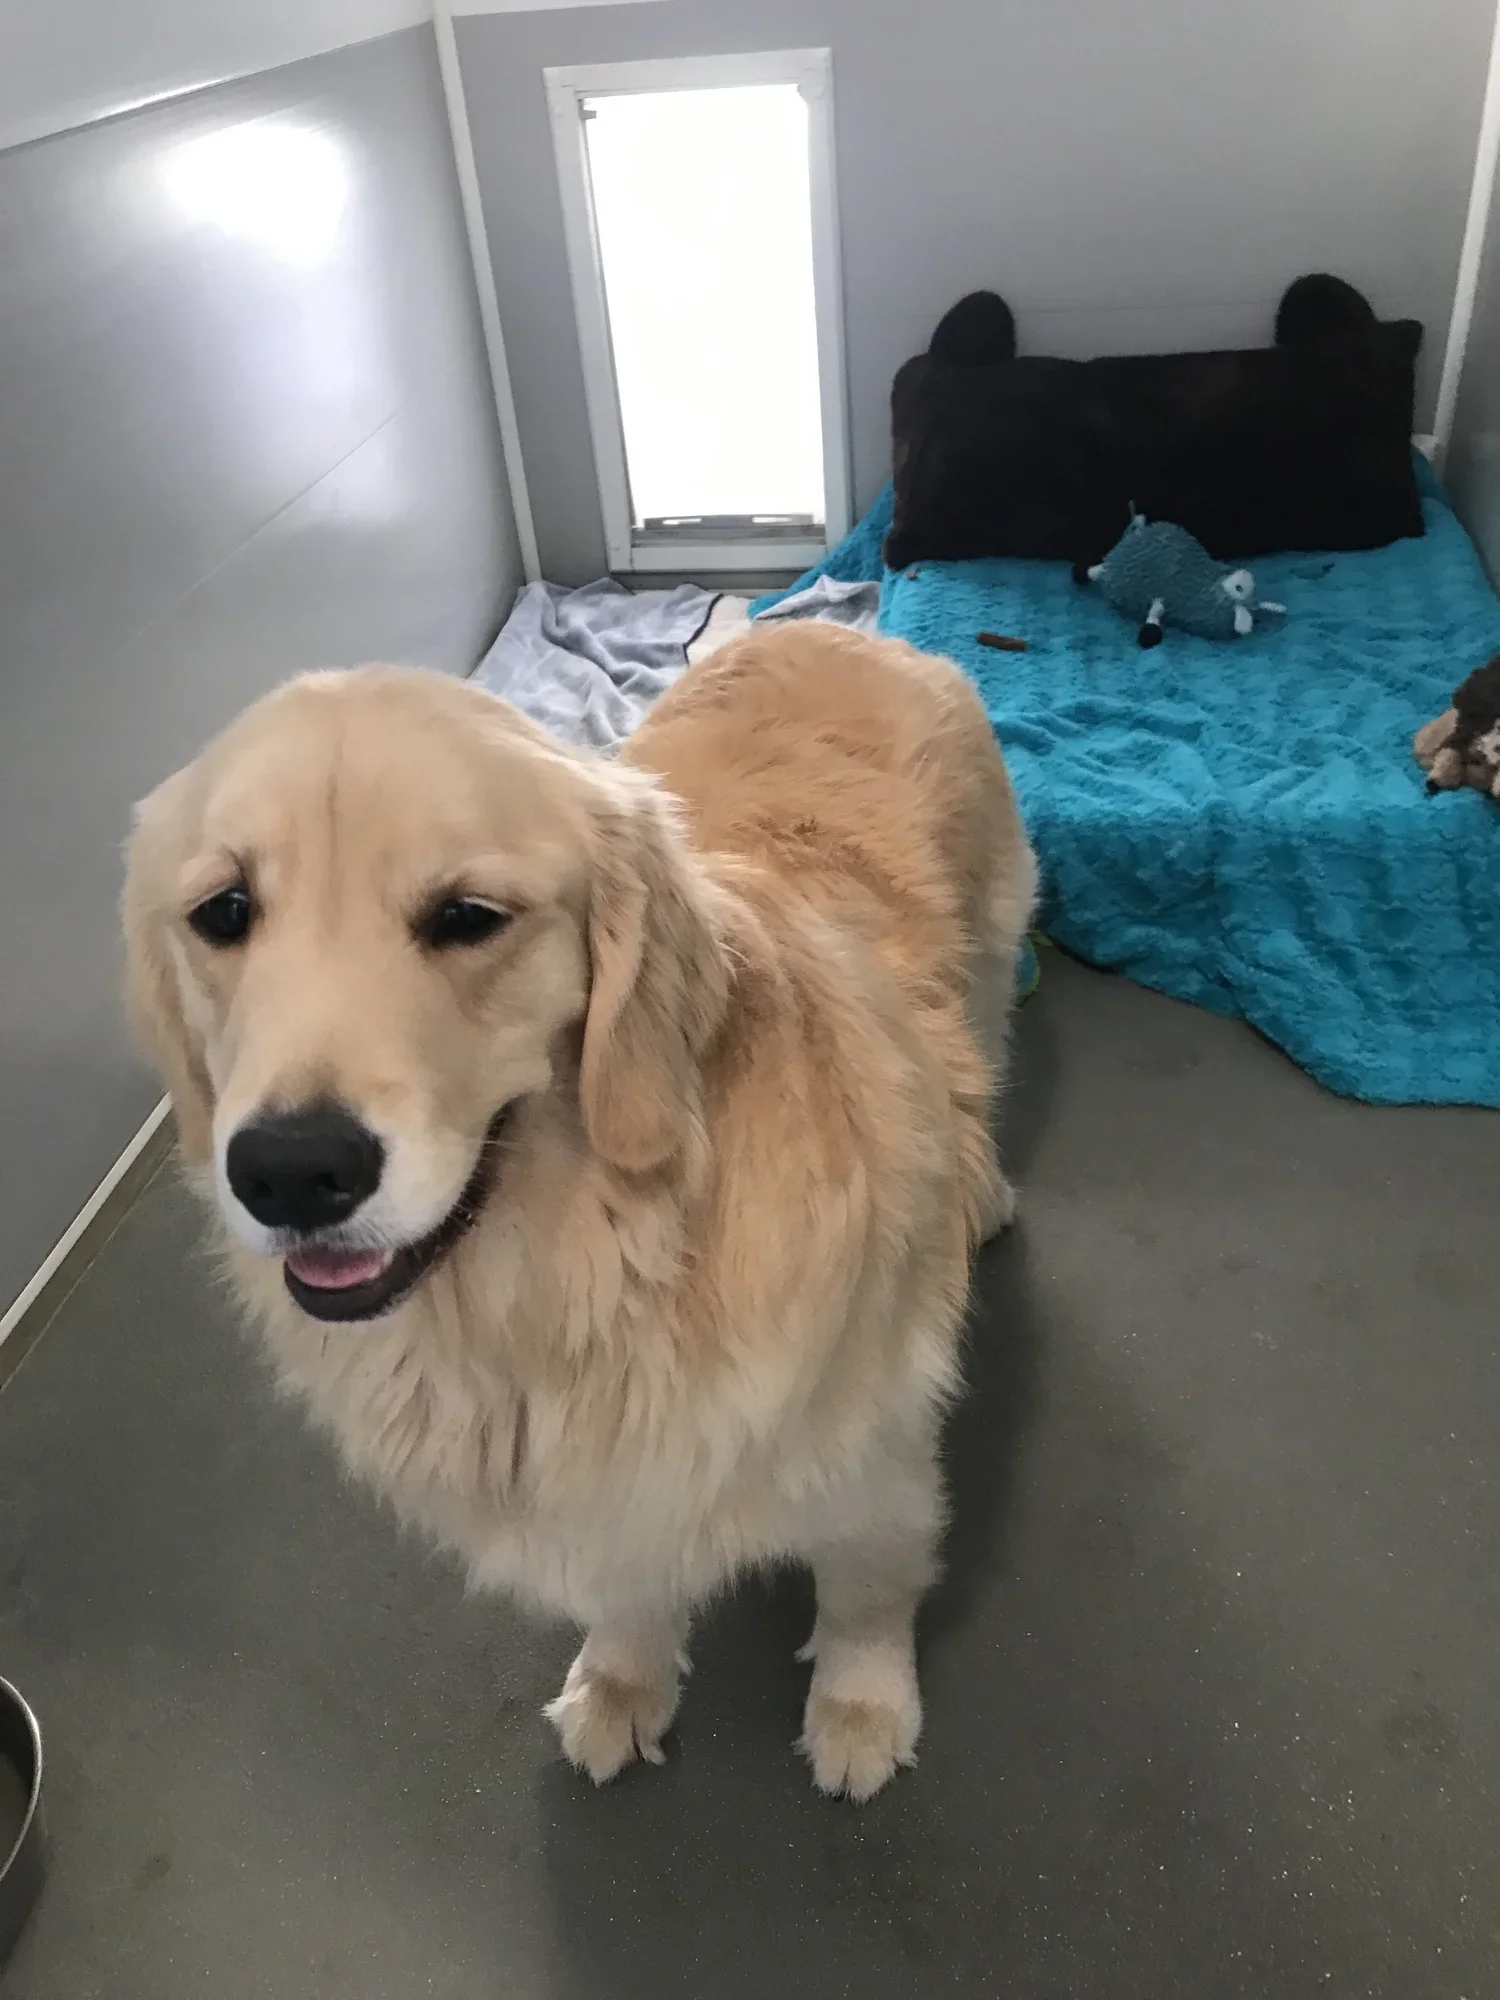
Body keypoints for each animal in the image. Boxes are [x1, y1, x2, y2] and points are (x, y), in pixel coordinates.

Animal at [123, 624, 1037, 1800]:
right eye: (223, 912)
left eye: (469, 918)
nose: (289, 1170)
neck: (575, 1282)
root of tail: (838, 620)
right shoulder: (596, 1495)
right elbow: (624, 1595)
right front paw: (620, 1682)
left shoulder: (874, 1452)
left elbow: (865, 1592)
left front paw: (862, 1708)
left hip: (994, 955)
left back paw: (987, 1191)